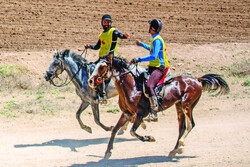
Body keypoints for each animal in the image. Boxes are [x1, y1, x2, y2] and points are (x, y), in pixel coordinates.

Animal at [88, 54, 230, 159]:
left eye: (102, 67)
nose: (90, 81)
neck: (132, 87)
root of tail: (197, 79)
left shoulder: (140, 114)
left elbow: (133, 131)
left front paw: (149, 138)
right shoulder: (127, 113)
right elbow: (115, 130)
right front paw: (108, 152)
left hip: (187, 105)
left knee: (191, 124)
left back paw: (180, 146)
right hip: (179, 106)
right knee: (182, 128)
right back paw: (174, 151)